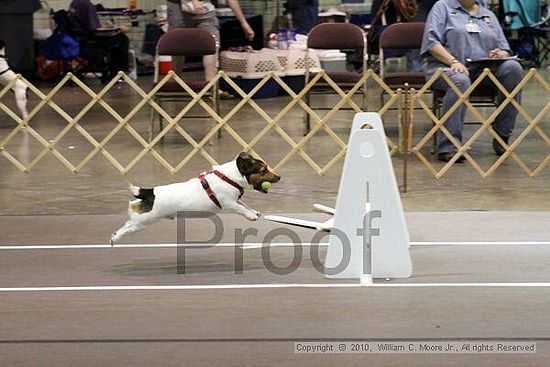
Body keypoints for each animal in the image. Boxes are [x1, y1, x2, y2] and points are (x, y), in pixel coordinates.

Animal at [109, 154, 280, 246]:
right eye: (263, 171)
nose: (279, 177)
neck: (228, 177)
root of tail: (150, 193)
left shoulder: (235, 199)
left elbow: (244, 204)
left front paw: (254, 212)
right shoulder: (229, 203)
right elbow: (241, 208)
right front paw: (251, 216)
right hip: (144, 221)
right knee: (128, 226)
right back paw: (115, 238)